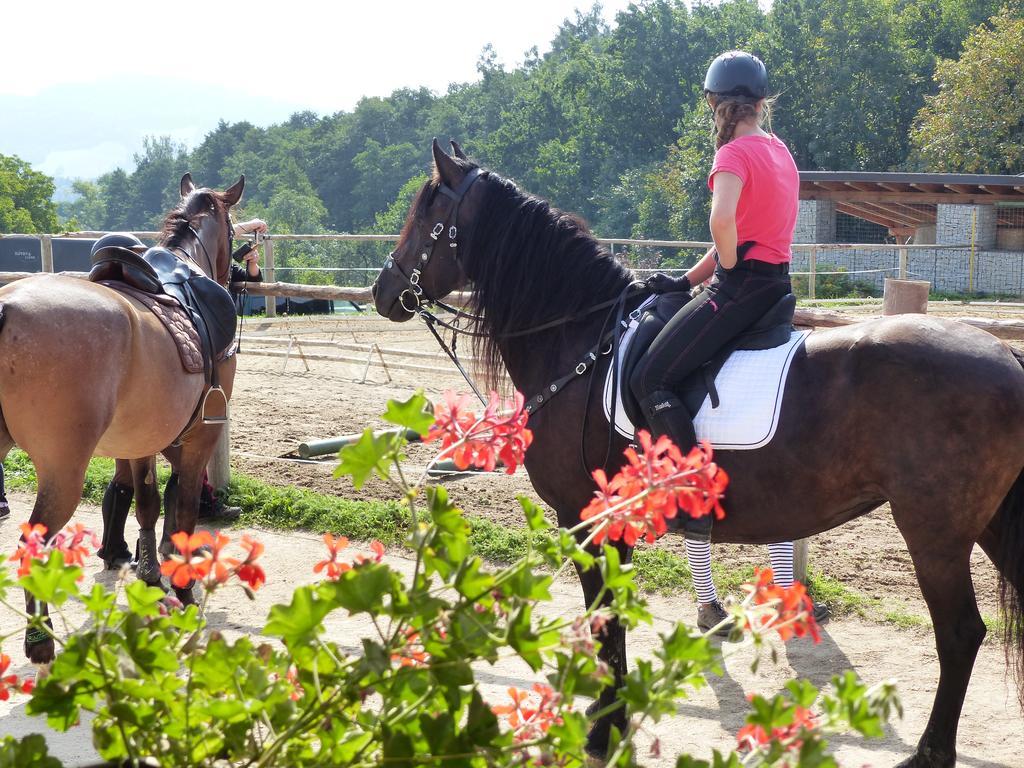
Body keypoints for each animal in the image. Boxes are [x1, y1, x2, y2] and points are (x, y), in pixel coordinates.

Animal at [0, 173, 241, 663]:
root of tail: (6, 308)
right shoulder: (200, 438)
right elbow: (185, 507)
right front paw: (181, 589)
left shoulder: (140, 440)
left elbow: (146, 503)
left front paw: (150, 574)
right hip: (63, 471)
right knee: (33, 543)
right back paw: (38, 638)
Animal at [372, 140, 1024, 768]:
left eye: (425, 213)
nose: (383, 292)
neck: (582, 345)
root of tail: (1005, 358)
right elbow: (613, 621)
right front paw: (611, 714)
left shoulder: (586, 520)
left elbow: (605, 619)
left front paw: (603, 731)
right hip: (990, 526)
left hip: (935, 534)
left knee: (959, 634)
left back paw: (930, 753)